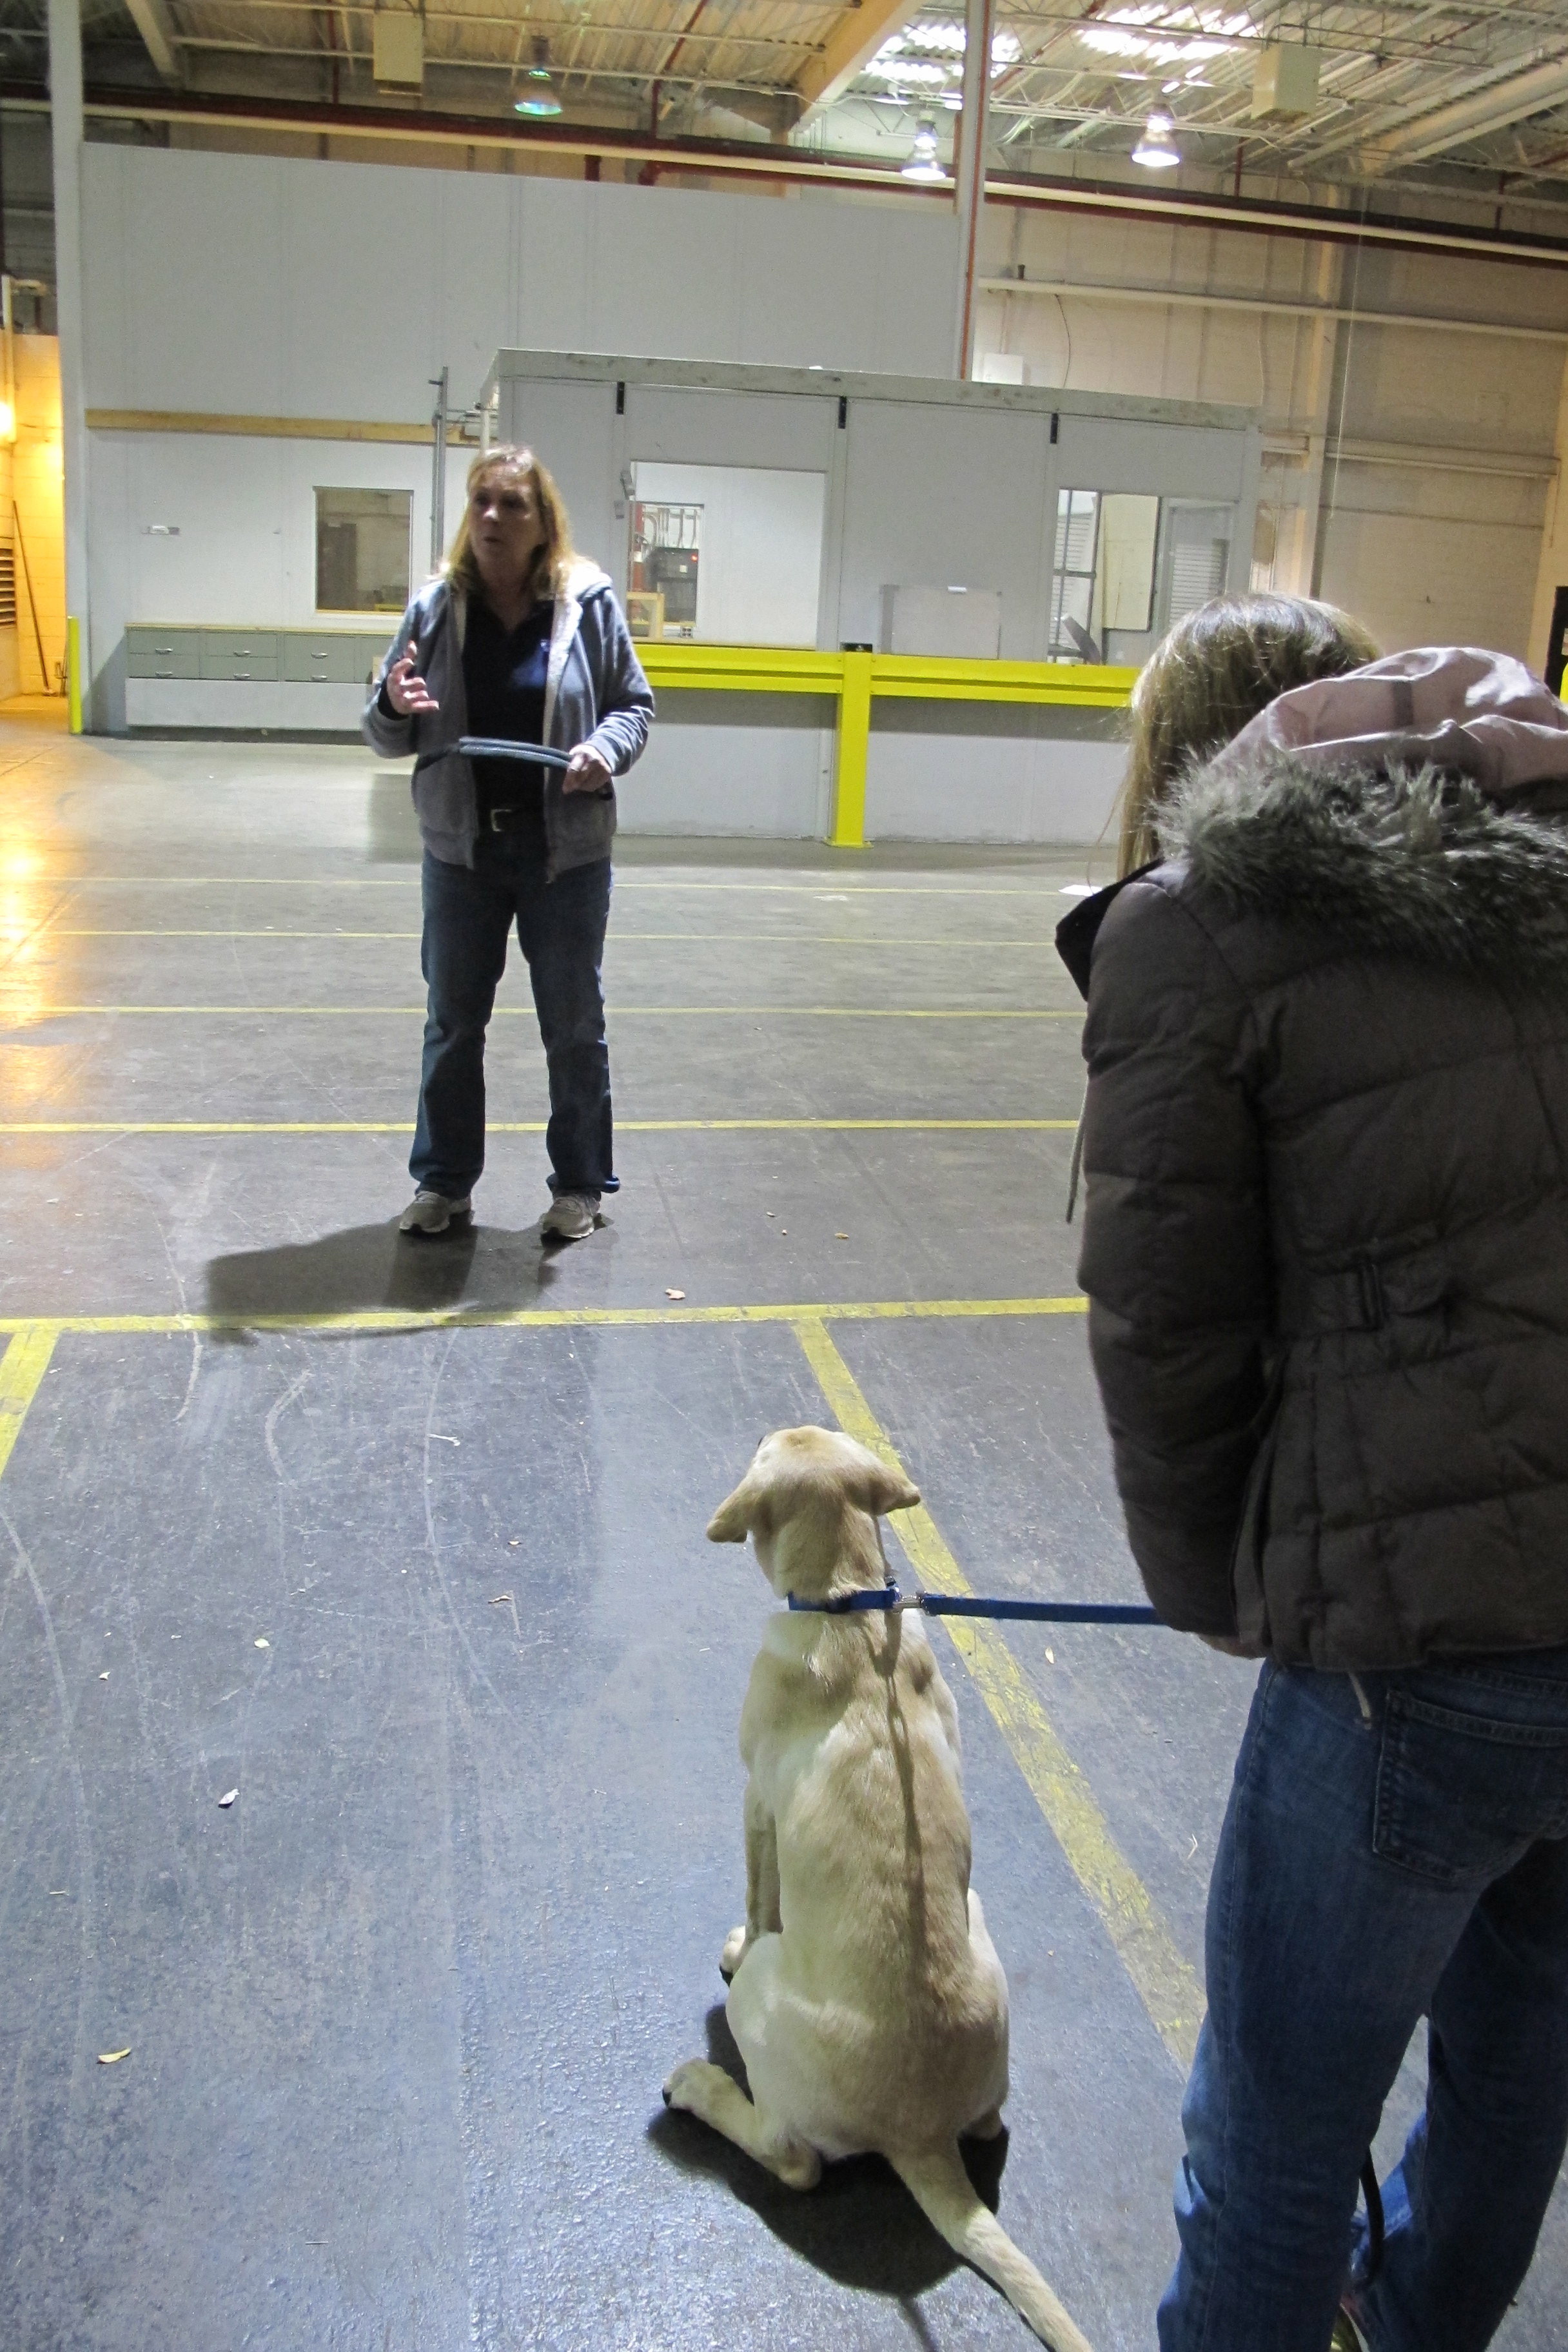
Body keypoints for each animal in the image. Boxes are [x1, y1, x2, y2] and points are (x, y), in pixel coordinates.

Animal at [667, 1411, 1100, 2352]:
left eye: (765, 1448)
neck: (847, 1602)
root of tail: (923, 2133)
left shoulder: (755, 1801)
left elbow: (759, 1896)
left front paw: (737, 1934)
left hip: (763, 2013)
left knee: (790, 2159)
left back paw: (705, 2088)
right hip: (979, 1923)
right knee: (993, 2119)